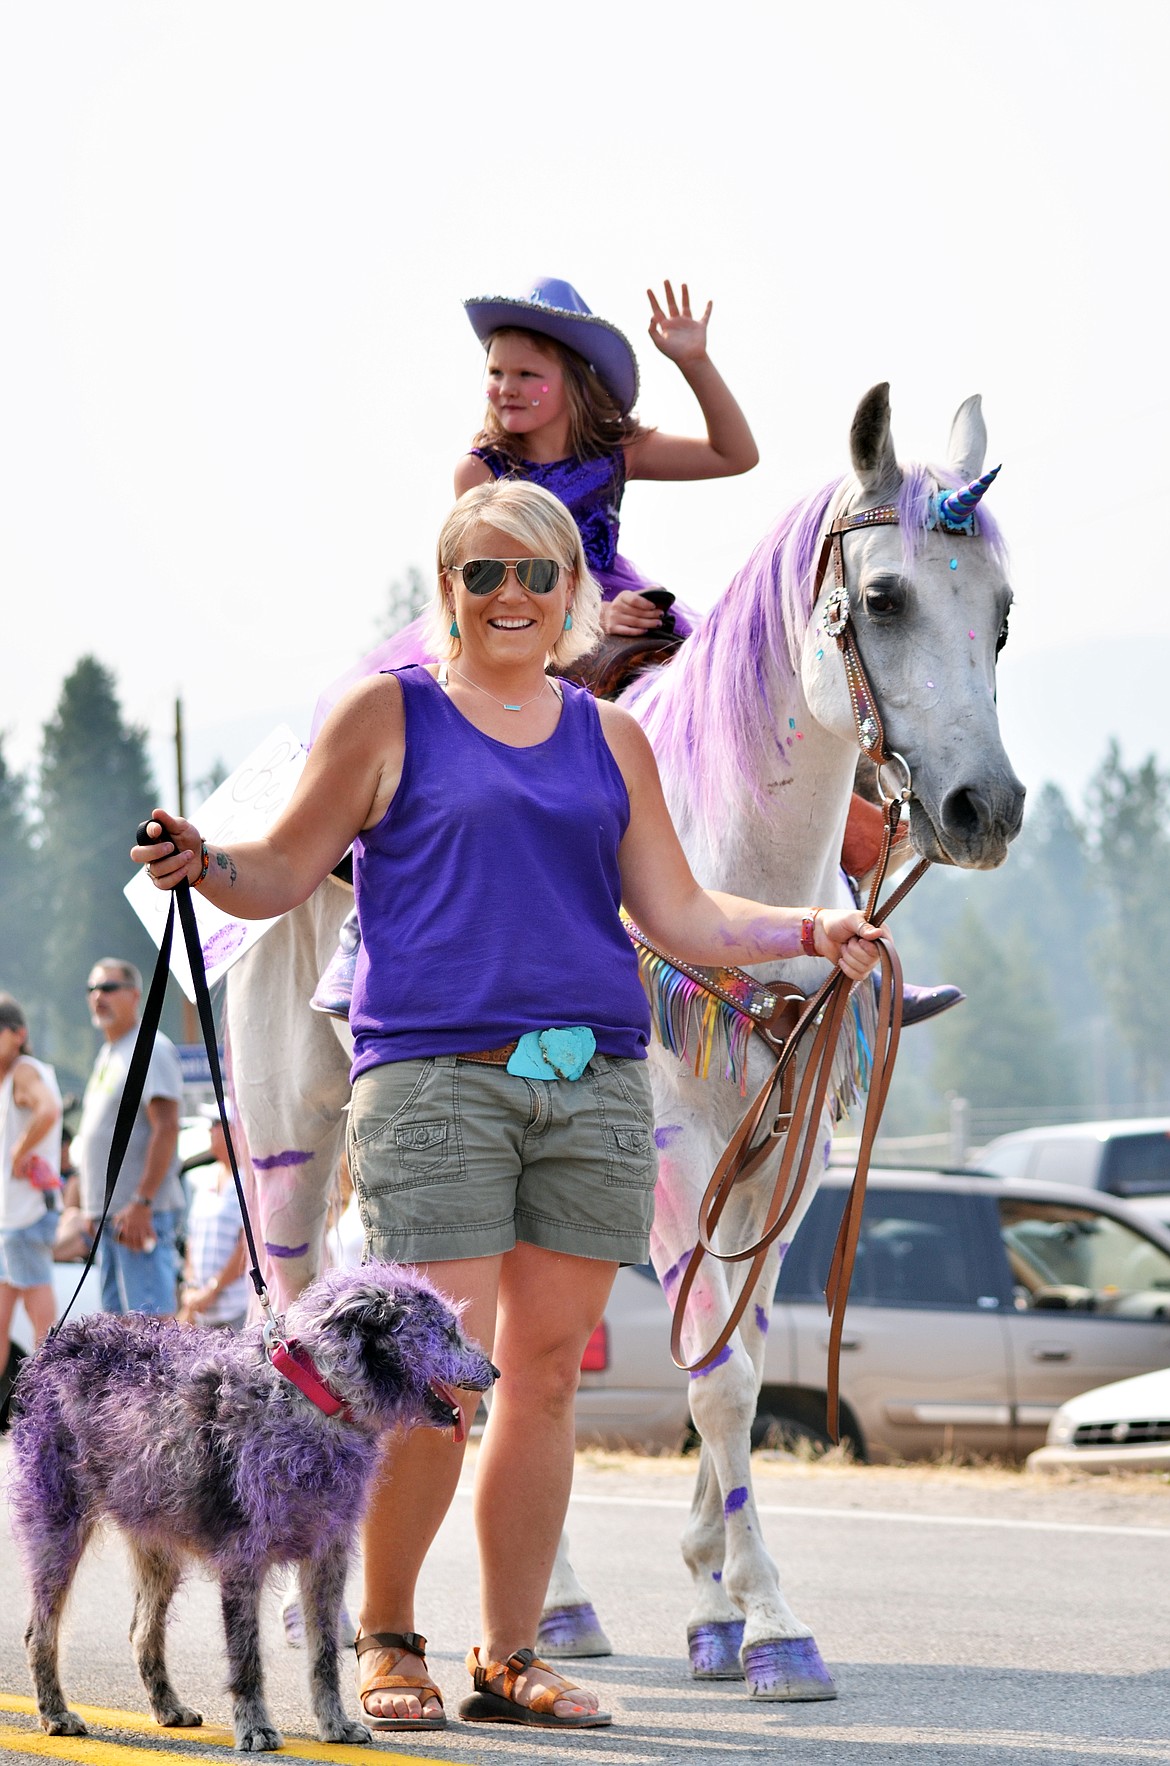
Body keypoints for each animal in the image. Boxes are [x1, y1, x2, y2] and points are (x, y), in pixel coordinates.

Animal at [9, 1264, 497, 1744]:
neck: (315, 1396)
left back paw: (167, 1707)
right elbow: (246, 1656)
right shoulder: (243, 1560)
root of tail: (54, 1346)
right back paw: (55, 1712)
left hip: (156, 1540)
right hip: (57, 1528)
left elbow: (324, 1654)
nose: (495, 1372)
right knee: (38, 1633)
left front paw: (334, 1723)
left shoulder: (328, 1557)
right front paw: (256, 1726)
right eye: (447, 1331)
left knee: (143, 1632)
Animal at [225, 386, 1023, 1695]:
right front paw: (775, 1624)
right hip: (287, 1138)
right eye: (888, 596)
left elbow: (735, 1348)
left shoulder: (782, 1162)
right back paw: (314, 1607)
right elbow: (723, 1377)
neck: (728, 852)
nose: (983, 808)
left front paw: (712, 1606)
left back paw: (555, 1610)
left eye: (1001, 613)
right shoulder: (667, 1157)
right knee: (297, 1302)